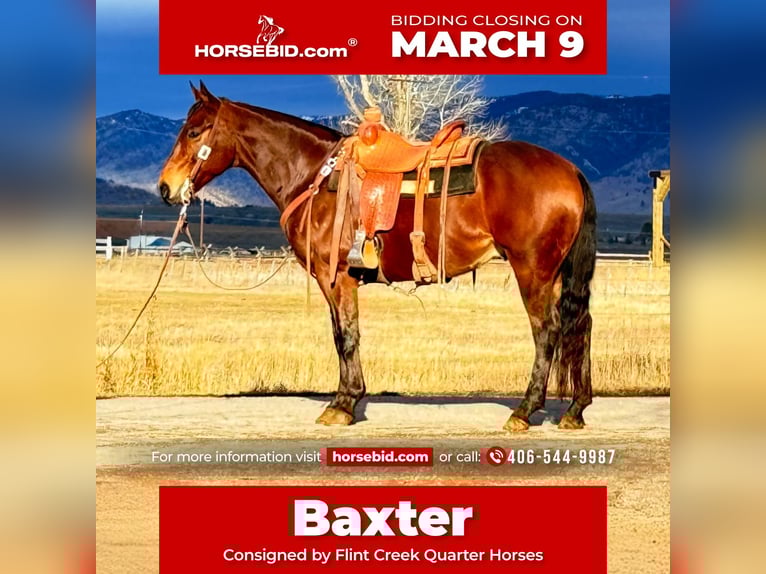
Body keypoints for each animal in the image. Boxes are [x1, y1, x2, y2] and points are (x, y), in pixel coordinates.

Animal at [158, 82, 597, 432]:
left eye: (194, 131)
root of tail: (571, 170)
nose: (165, 188)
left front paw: (343, 404)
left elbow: (345, 336)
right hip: (557, 273)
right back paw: (575, 409)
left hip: (533, 270)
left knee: (547, 332)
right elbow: (343, 334)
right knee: (580, 326)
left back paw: (524, 411)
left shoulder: (334, 277)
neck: (312, 174)